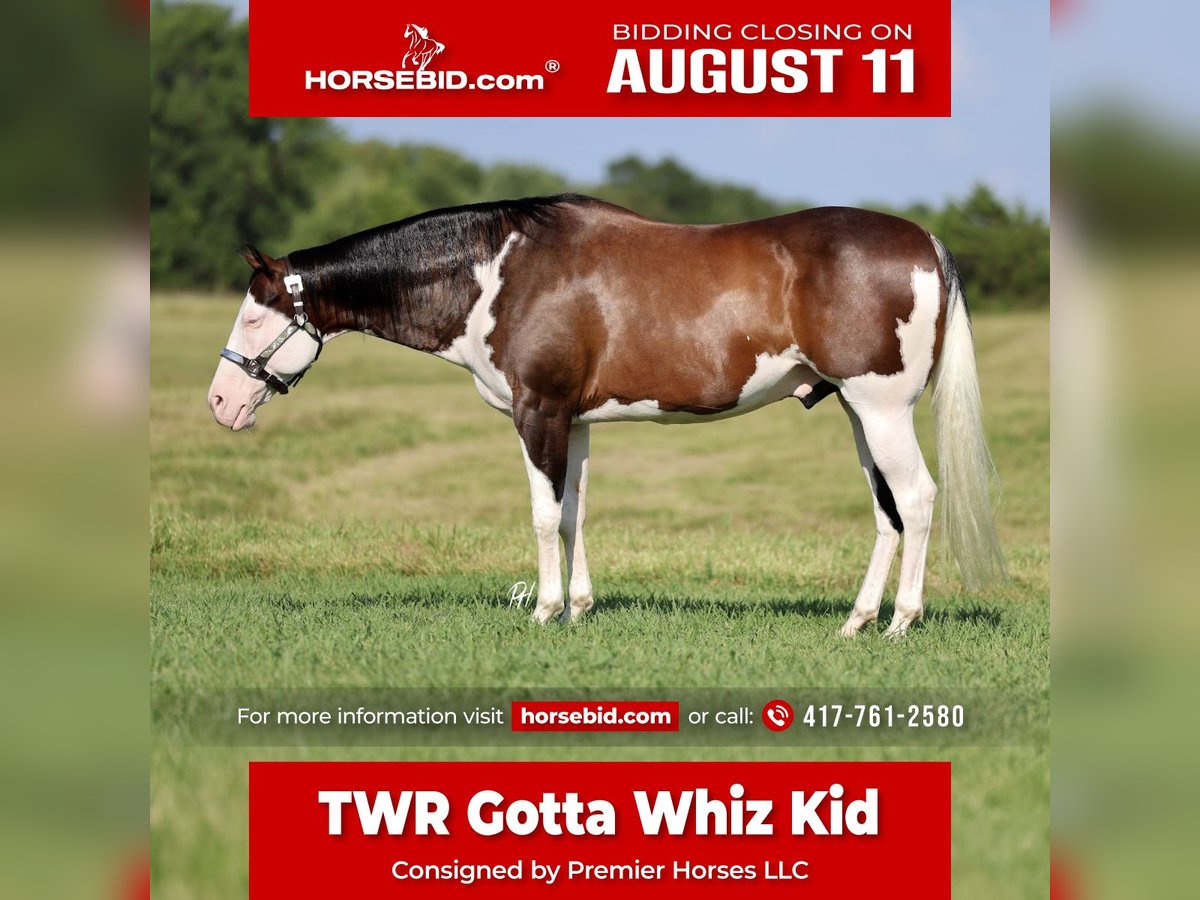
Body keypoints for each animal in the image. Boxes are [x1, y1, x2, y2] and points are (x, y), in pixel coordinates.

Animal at [207, 195, 1005, 636]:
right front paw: (579, 608)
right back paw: (857, 621)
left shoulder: (538, 412)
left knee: (918, 500)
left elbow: (540, 515)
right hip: (857, 413)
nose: (219, 402)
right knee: (887, 513)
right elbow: (572, 514)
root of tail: (924, 241)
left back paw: (901, 622)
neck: (497, 271)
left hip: (882, 408)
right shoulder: (577, 420)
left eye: (255, 315)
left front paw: (543, 612)